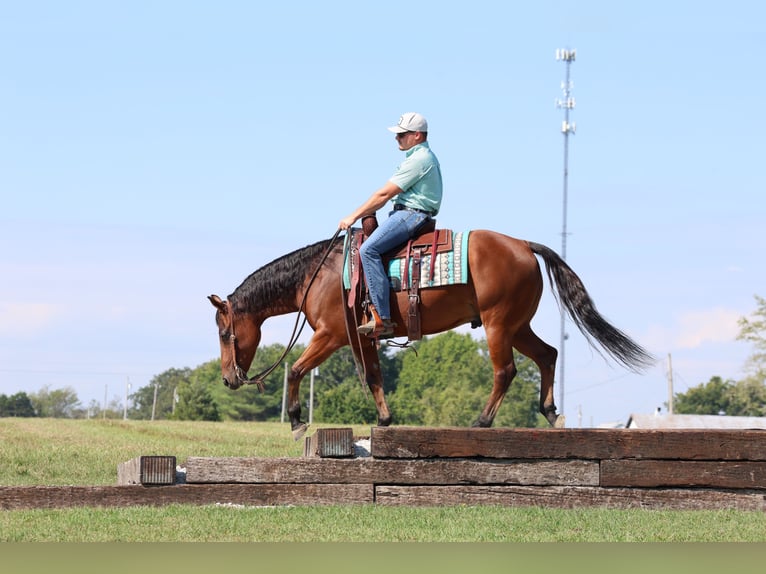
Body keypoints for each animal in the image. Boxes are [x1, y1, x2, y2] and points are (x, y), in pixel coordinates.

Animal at [209, 229, 653, 439]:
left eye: (226, 334)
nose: (228, 379)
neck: (320, 275)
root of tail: (524, 245)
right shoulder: (363, 338)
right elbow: (374, 376)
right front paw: (385, 419)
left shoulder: (331, 336)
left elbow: (297, 370)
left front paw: (298, 421)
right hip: (517, 325)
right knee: (546, 355)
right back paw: (550, 412)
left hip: (498, 324)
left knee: (506, 370)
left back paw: (482, 421)